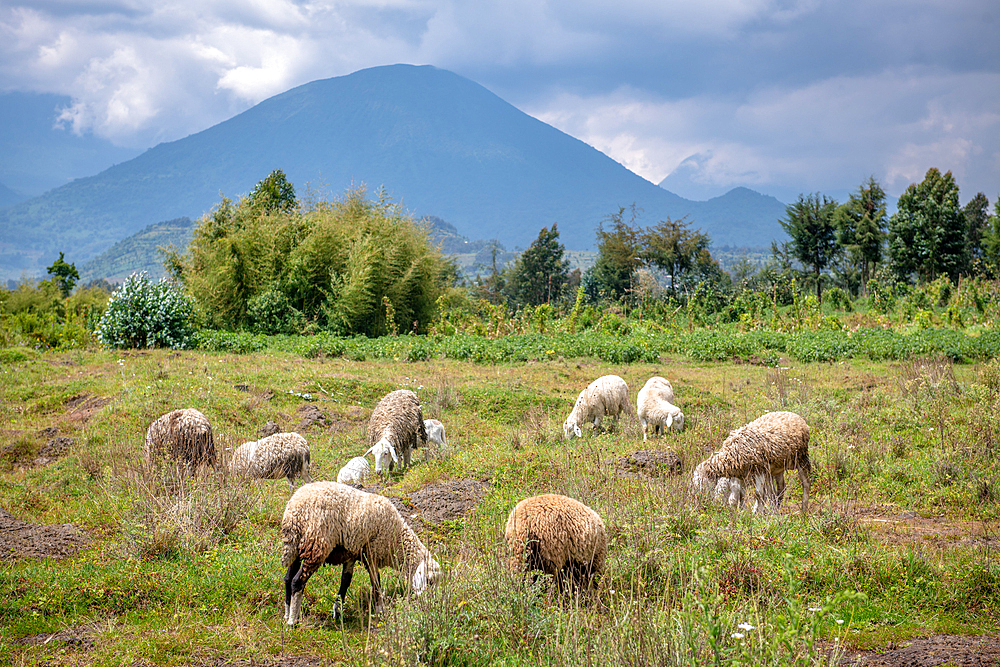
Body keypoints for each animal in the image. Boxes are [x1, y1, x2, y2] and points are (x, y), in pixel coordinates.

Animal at [280, 480, 440, 628]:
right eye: (429, 580)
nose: (427, 601)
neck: (395, 539)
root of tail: (294, 510)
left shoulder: (352, 554)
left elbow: (345, 582)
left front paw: (338, 612)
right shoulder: (372, 552)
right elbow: (376, 583)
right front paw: (380, 611)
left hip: (297, 546)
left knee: (288, 579)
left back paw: (287, 614)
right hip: (316, 544)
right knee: (297, 581)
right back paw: (292, 621)